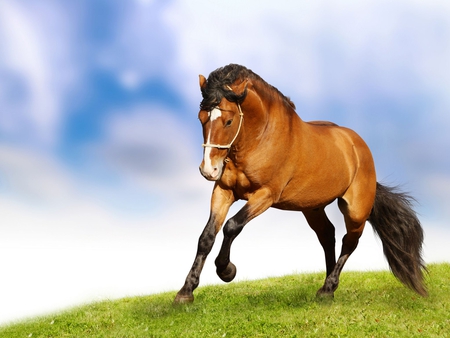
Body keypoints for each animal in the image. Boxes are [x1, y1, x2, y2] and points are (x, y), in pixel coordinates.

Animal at [174, 64, 428, 304]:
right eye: (201, 118)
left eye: (228, 121)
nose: (208, 170)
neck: (260, 138)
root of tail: (358, 146)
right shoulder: (224, 191)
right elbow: (207, 236)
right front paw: (185, 293)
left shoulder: (265, 195)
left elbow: (232, 226)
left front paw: (227, 270)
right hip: (312, 208)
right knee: (328, 236)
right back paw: (328, 287)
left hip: (356, 210)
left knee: (349, 242)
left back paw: (328, 288)